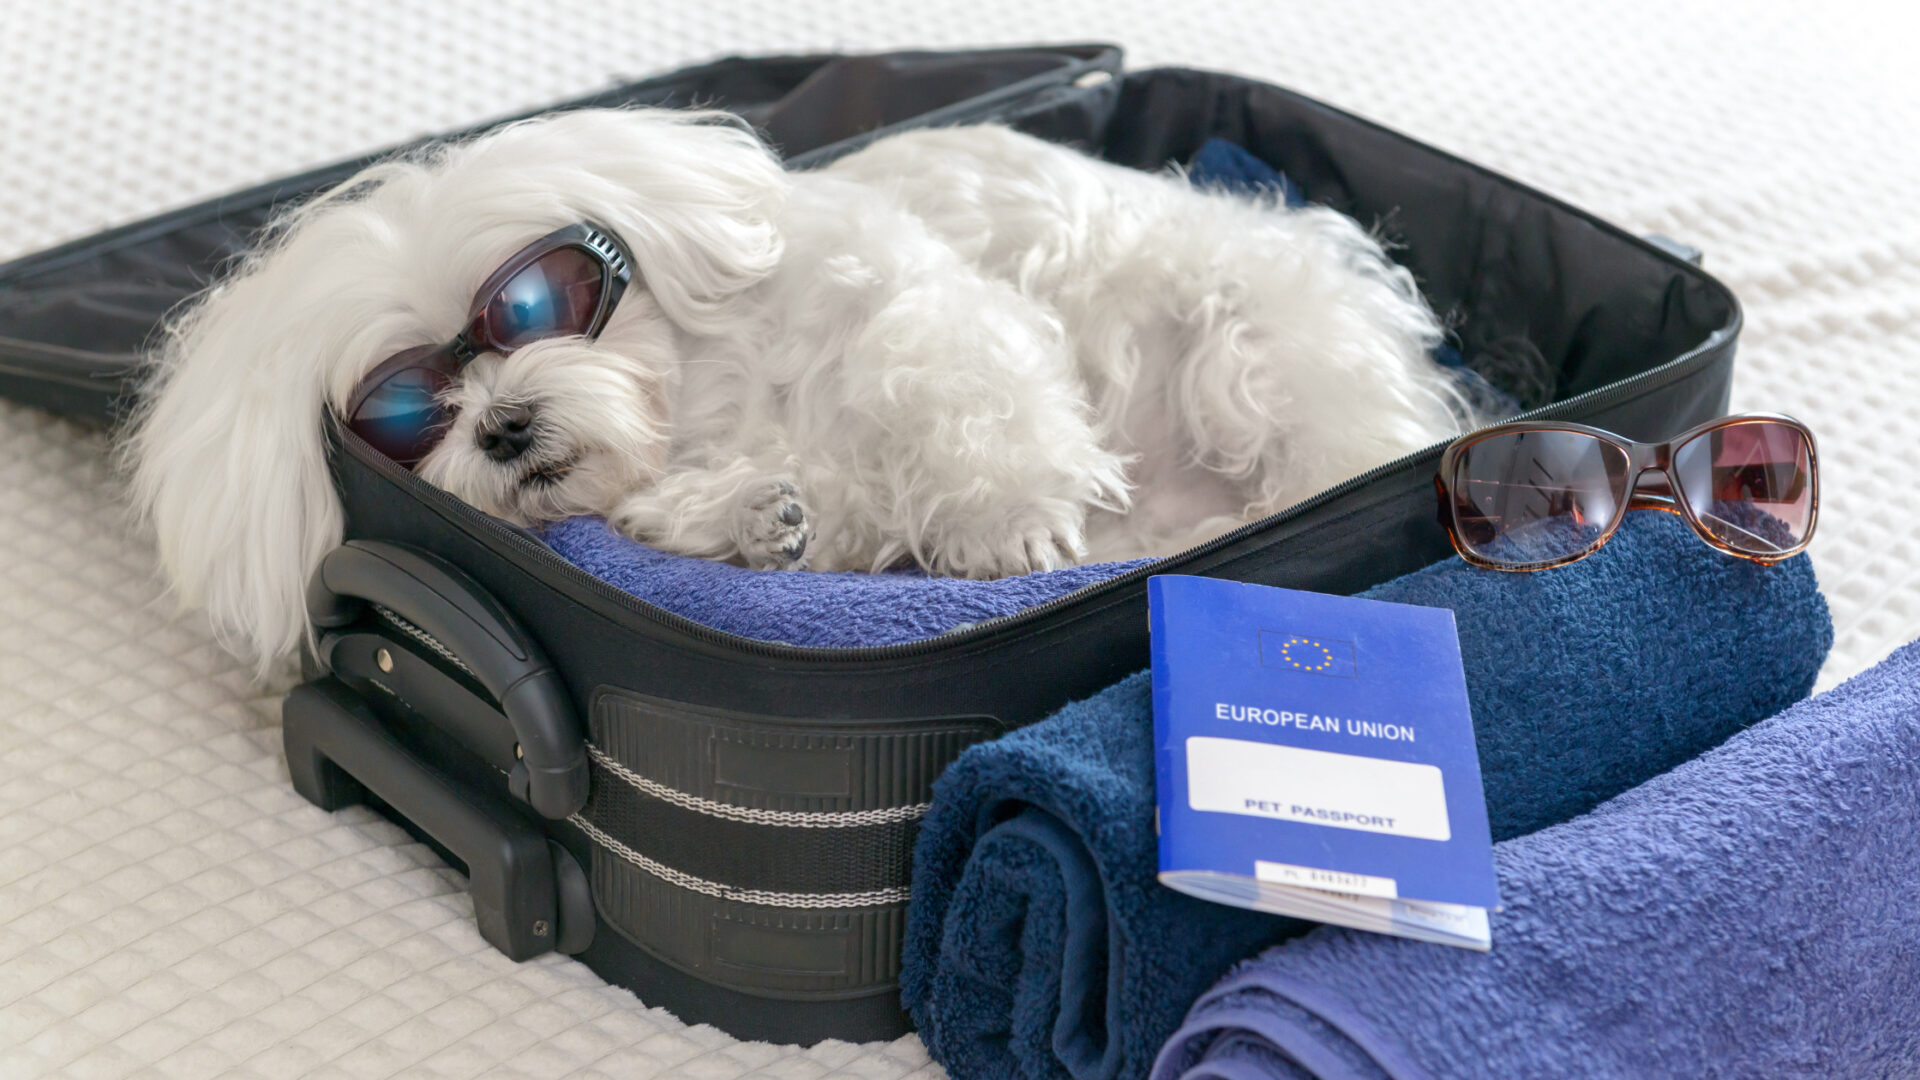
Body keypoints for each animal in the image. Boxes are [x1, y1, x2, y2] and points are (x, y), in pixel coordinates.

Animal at [123, 109, 1466, 664]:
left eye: (532, 305)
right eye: (405, 411)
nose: (502, 428)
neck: (700, 411)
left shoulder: (911, 299)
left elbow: (951, 385)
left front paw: (1009, 519)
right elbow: (795, 517)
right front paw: (755, 518)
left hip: (1258, 341)